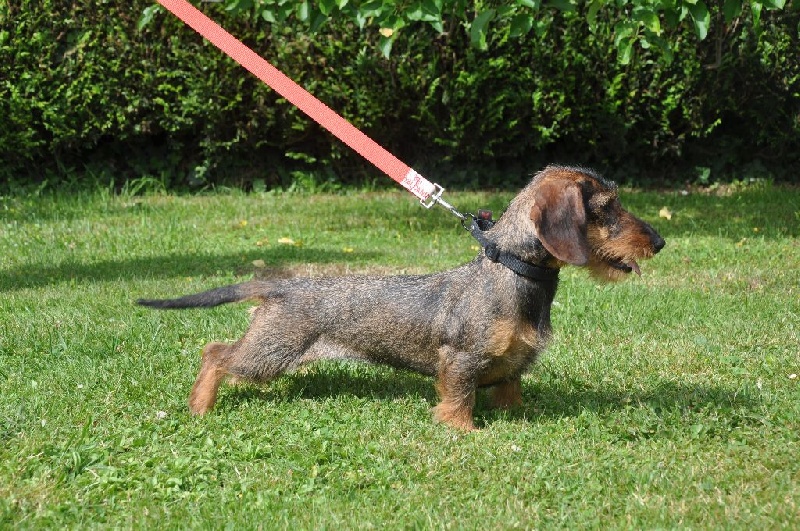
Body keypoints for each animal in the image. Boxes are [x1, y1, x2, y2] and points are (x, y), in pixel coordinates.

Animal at [138, 166, 664, 432]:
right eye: (607, 208)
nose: (659, 241)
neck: (510, 273)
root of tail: (282, 284)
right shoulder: (460, 361)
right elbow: (458, 402)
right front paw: (462, 433)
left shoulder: (512, 365)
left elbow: (510, 391)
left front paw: (517, 418)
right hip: (270, 352)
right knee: (215, 354)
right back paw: (200, 407)